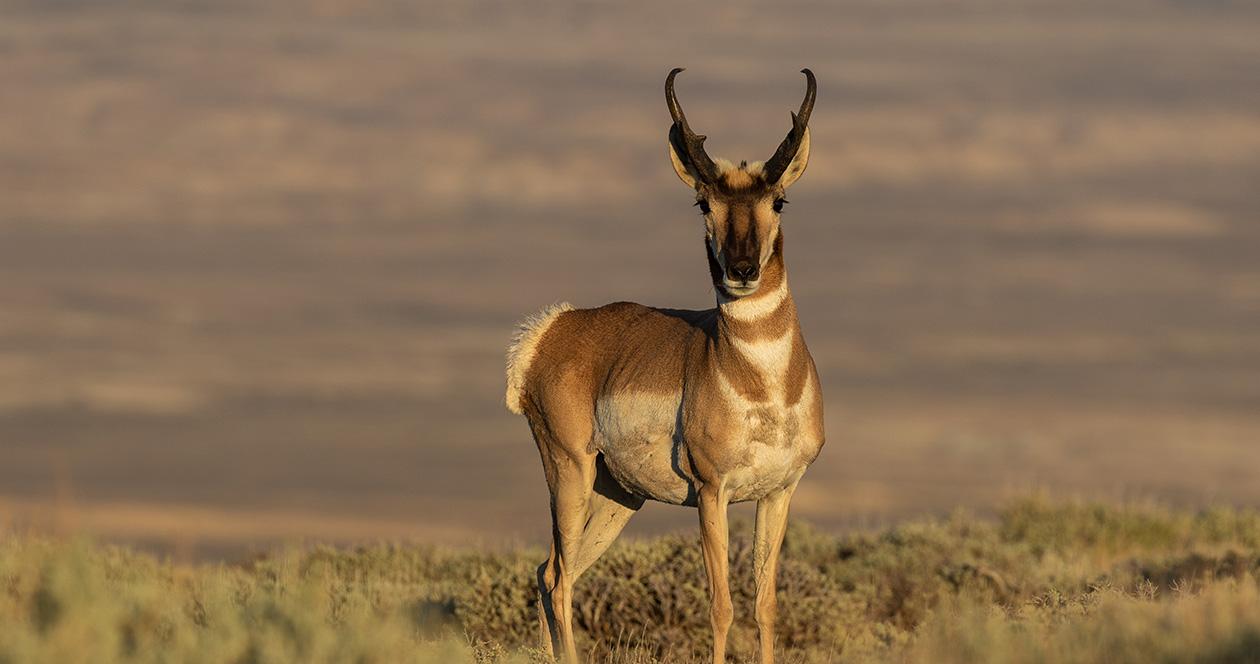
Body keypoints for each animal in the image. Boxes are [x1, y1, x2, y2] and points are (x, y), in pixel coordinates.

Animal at [504, 68, 823, 664]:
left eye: (780, 201)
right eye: (702, 203)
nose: (741, 270)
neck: (761, 384)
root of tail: (553, 329)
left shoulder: (778, 493)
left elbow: (765, 605)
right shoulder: (711, 491)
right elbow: (721, 605)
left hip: (618, 495)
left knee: (550, 570)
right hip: (569, 470)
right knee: (557, 577)